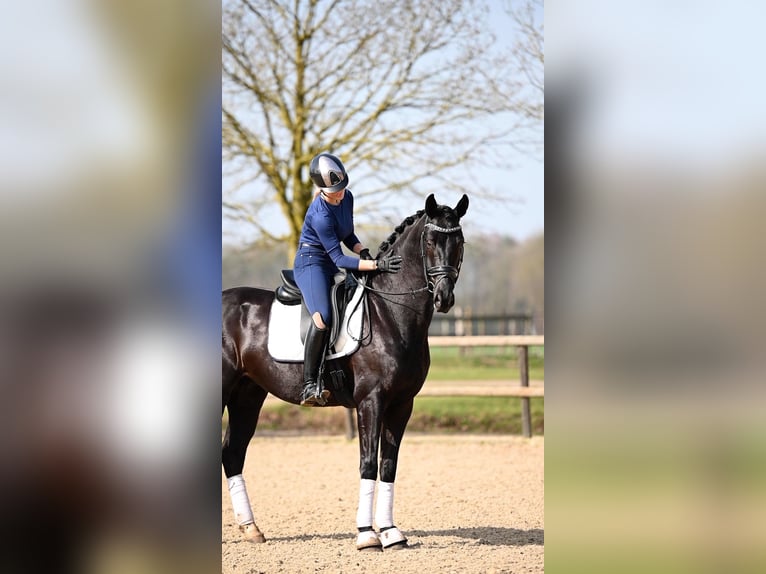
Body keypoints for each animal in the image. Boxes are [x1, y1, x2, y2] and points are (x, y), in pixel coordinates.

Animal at [222, 193, 468, 550]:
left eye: (459, 242)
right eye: (430, 241)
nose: (443, 298)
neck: (389, 314)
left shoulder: (401, 404)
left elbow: (388, 466)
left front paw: (391, 532)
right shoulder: (371, 401)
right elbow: (367, 464)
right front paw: (367, 535)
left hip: (247, 395)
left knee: (232, 453)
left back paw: (251, 528)